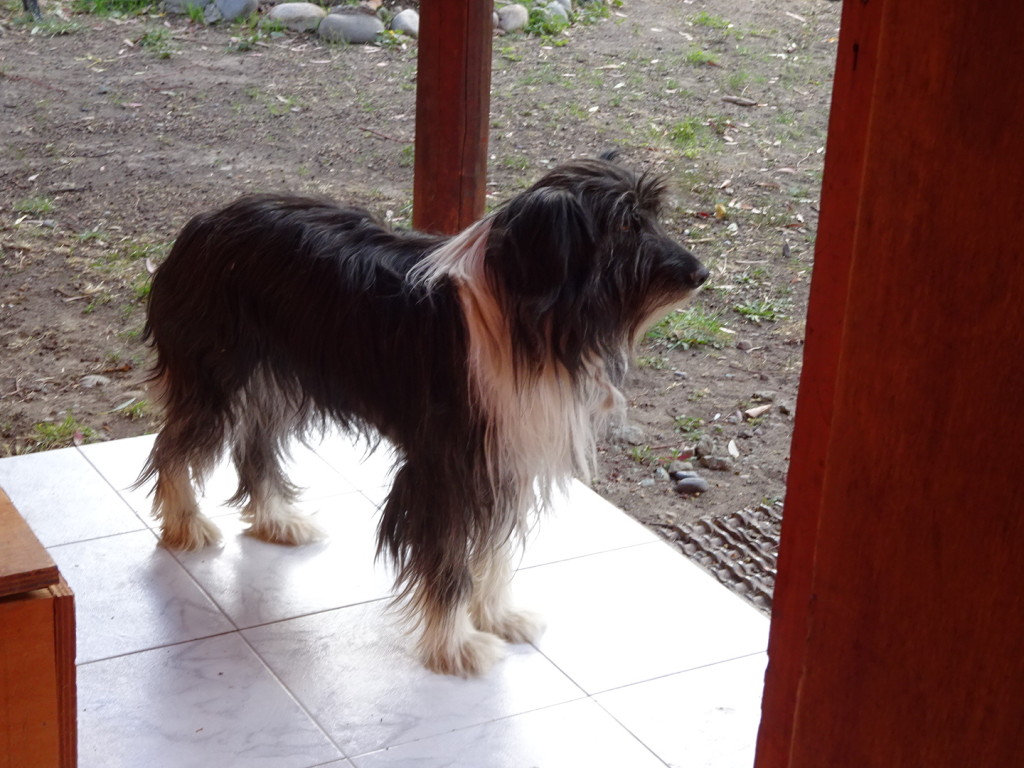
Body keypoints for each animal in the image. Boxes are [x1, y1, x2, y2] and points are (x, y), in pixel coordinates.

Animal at [140, 157, 708, 679]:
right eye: (626, 226)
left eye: (650, 218)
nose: (701, 274)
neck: (532, 316)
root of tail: (204, 222)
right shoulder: (446, 467)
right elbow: (448, 559)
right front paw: (457, 645)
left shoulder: (503, 456)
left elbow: (494, 547)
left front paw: (498, 614)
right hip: (217, 375)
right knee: (174, 446)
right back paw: (186, 524)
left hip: (276, 381)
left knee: (252, 445)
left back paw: (278, 520)